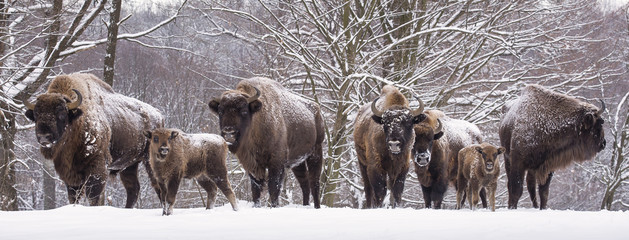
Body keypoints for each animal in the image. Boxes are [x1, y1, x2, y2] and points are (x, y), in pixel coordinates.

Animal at [23, 73, 163, 208]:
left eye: (61, 113)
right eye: (36, 114)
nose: (44, 137)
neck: (77, 120)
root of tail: (159, 115)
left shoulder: (97, 167)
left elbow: (93, 196)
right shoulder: (70, 174)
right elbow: (73, 197)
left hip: (150, 160)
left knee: (158, 185)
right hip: (129, 165)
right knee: (133, 189)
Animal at [209, 77, 324, 208]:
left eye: (244, 111)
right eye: (220, 111)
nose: (229, 132)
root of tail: (317, 110)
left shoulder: (276, 163)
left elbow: (273, 187)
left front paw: (274, 206)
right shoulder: (252, 165)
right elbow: (256, 189)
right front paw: (256, 206)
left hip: (316, 152)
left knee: (314, 182)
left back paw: (317, 206)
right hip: (298, 162)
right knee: (304, 183)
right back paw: (305, 205)